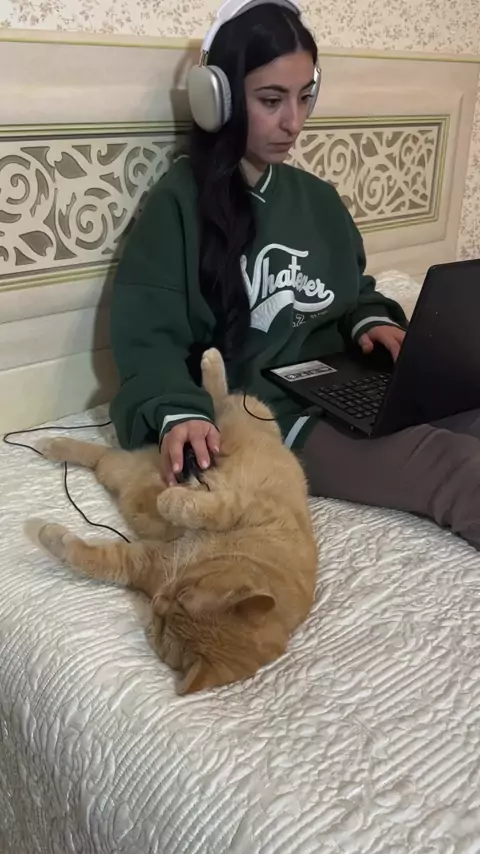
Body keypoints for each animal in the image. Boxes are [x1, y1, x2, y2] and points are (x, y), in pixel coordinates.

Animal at [27, 348, 318, 694]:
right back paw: (211, 362)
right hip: (236, 422)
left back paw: (54, 446)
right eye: (183, 593)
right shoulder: (245, 506)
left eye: (163, 624)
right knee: (217, 401)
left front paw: (48, 535)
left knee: (99, 456)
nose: (158, 602)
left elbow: (90, 559)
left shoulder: (140, 563)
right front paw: (169, 500)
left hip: (117, 471)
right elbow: (206, 507)